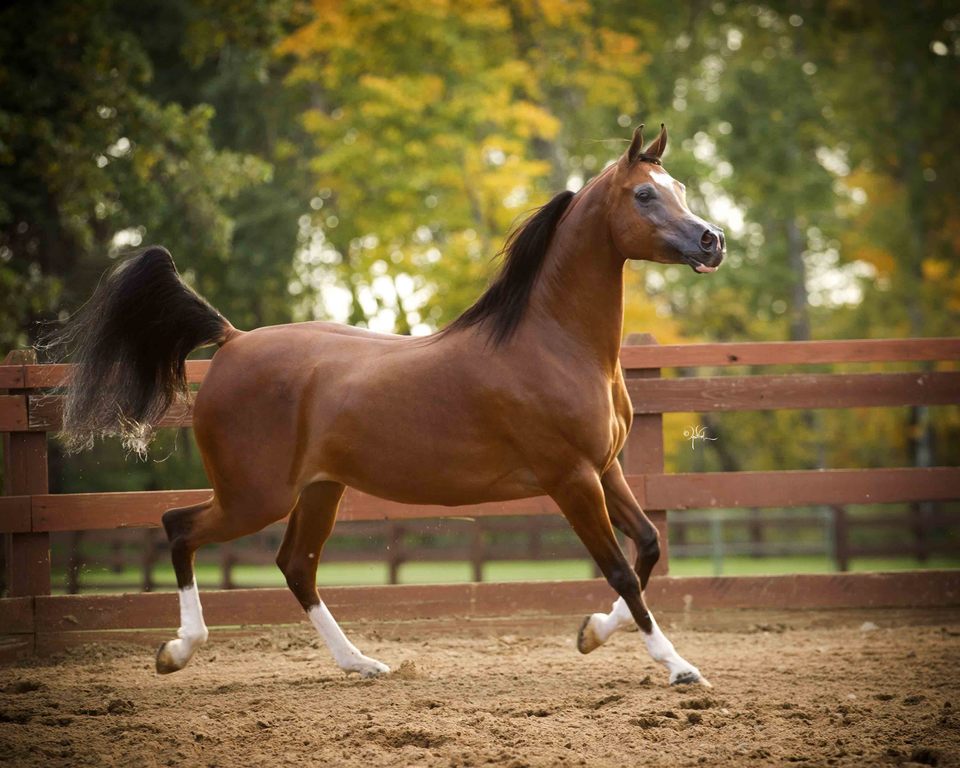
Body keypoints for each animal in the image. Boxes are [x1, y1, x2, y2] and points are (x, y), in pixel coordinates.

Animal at [57, 123, 724, 685]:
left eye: (681, 189)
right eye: (644, 194)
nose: (711, 240)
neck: (553, 341)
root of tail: (233, 339)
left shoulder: (605, 468)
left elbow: (649, 547)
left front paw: (591, 633)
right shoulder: (571, 478)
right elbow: (620, 568)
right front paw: (678, 667)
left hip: (318, 489)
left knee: (296, 564)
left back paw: (360, 663)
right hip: (255, 496)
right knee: (180, 527)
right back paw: (176, 651)